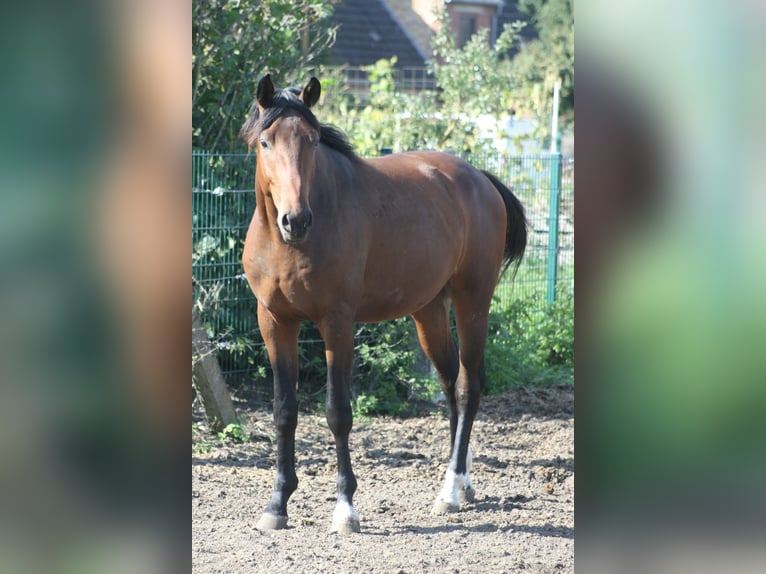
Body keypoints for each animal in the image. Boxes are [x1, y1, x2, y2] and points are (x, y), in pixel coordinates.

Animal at [240, 74, 527, 533]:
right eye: (266, 142)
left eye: (312, 141)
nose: (296, 220)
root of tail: (480, 179)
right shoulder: (274, 322)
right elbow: (284, 412)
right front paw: (277, 505)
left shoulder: (337, 324)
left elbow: (338, 412)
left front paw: (345, 508)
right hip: (429, 311)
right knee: (450, 384)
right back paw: (462, 483)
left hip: (473, 301)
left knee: (468, 388)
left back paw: (449, 491)